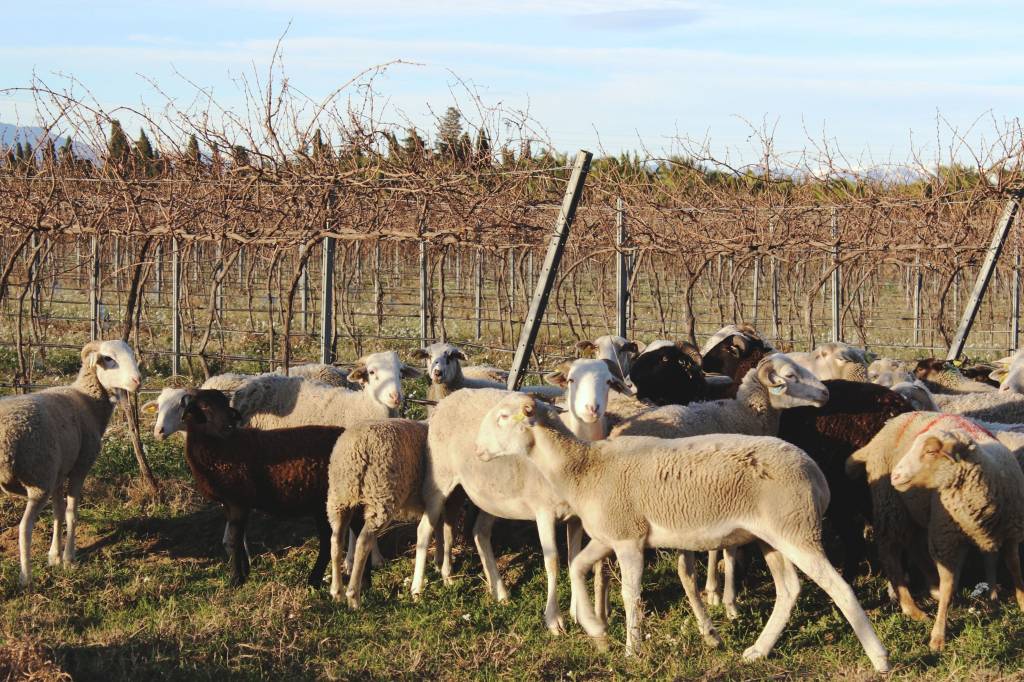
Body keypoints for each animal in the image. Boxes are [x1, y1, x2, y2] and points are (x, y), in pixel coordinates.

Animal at [0, 337, 142, 585]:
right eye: (108, 359)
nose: (138, 381)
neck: (86, 400)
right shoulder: (79, 467)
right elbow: (71, 513)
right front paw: (68, 558)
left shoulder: (59, 473)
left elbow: (57, 512)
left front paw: (54, 556)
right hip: (39, 479)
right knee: (24, 528)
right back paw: (26, 578)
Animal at [180, 387, 344, 585]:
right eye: (204, 406)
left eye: (226, 403)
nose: (229, 425)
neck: (222, 447)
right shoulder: (231, 503)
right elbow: (237, 540)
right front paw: (244, 573)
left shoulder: (238, 501)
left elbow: (234, 540)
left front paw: (236, 579)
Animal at [325, 417, 425, 606]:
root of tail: (356, 448)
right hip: (380, 496)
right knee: (363, 542)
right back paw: (353, 596)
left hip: (339, 499)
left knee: (335, 541)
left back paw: (337, 591)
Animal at [475, 391, 892, 671]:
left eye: (503, 416)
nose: (478, 450)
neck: (584, 468)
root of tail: (816, 474)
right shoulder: (609, 534)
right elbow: (577, 567)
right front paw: (595, 630)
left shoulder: (628, 538)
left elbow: (630, 594)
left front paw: (632, 649)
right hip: (772, 537)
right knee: (789, 589)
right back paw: (758, 651)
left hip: (798, 529)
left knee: (840, 588)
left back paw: (879, 658)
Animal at [847, 409, 1024, 647]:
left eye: (930, 451)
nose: (895, 476)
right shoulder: (945, 539)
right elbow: (948, 585)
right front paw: (938, 635)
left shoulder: (1008, 532)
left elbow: (1013, 566)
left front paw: (1011, 601)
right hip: (891, 505)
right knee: (890, 551)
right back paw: (912, 608)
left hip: (917, 512)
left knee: (914, 545)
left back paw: (932, 585)